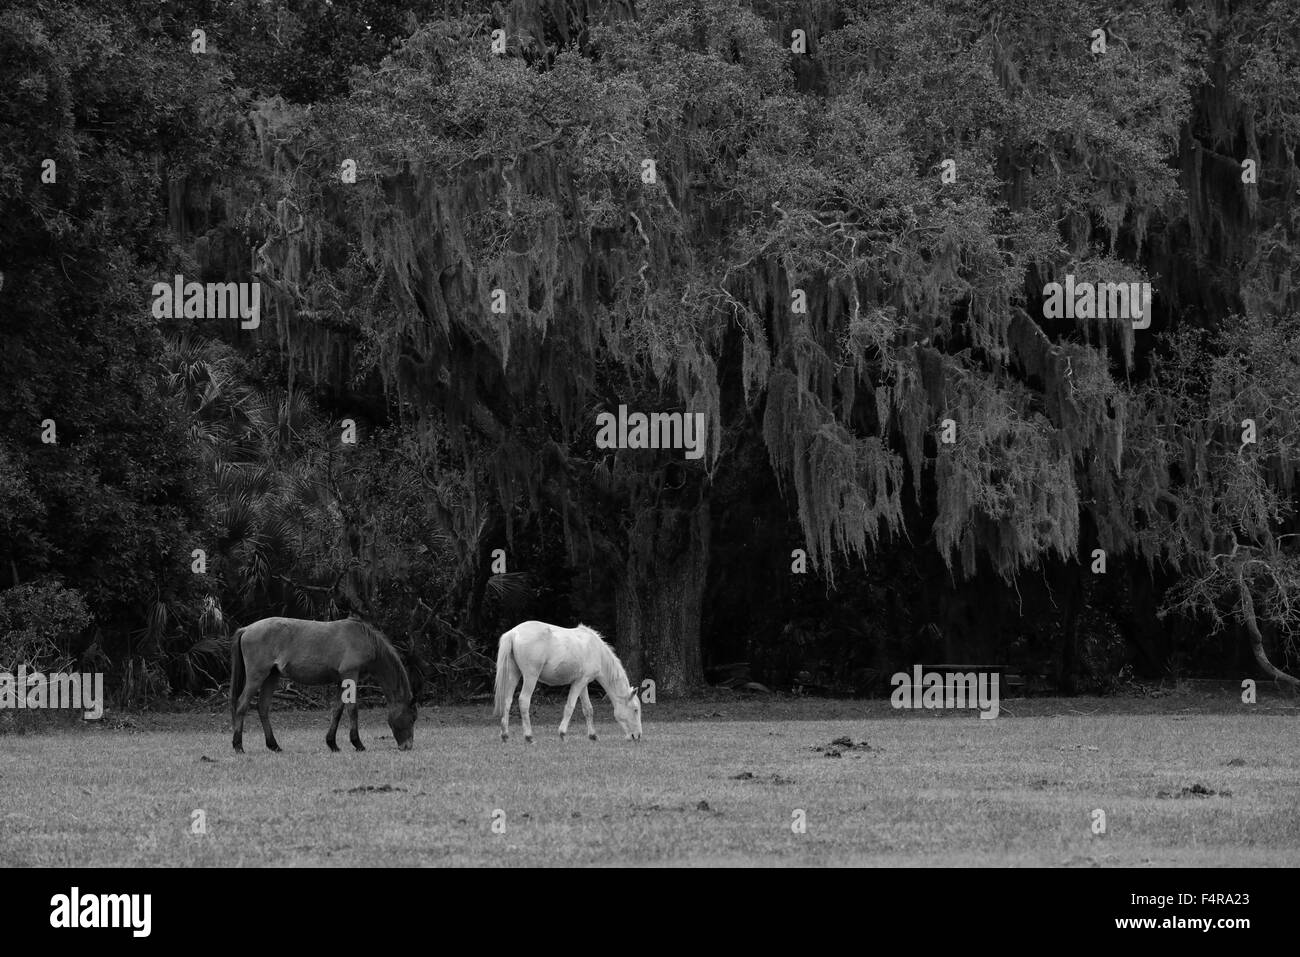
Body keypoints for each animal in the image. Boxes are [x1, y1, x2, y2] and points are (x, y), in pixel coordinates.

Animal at [230, 616, 419, 753]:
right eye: (413, 717)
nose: (407, 746)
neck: (362, 639)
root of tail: (247, 629)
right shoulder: (350, 675)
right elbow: (352, 709)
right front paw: (358, 744)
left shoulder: (341, 680)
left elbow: (337, 711)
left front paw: (332, 744)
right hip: (257, 676)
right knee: (242, 705)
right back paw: (239, 746)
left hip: (271, 677)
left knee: (262, 707)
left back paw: (273, 745)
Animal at [493, 620, 642, 743]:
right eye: (635, 710)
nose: (638, 736)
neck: (595, 650)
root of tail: (514, 633)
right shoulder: (579, 683)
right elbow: (570, 707)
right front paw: (562, 733)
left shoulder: (583, 684)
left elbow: (588, 709)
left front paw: (593, 735)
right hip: (531, 677)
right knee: (524, 700)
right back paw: (529, 736)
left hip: (513, 675)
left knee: (507, 701)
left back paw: (505, 735)